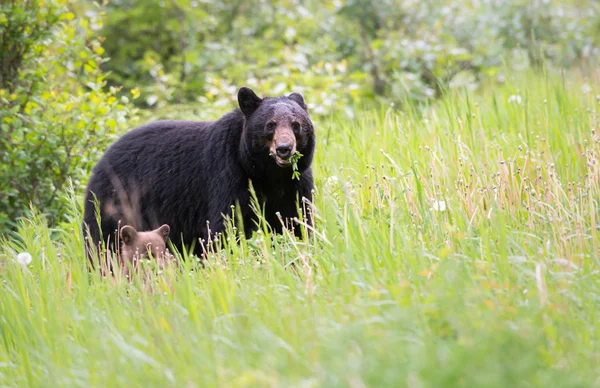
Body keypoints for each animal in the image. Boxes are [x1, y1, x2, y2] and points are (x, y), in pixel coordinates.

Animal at [82, 86, 316, 266]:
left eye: (296, 124)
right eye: (270, 125)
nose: (284, 148)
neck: (268, 174)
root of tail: (100, 162)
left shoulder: (295, 185)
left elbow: (298, 221)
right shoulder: (227, 175)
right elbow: (226, 226)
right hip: (115, 201)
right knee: (103, 243)